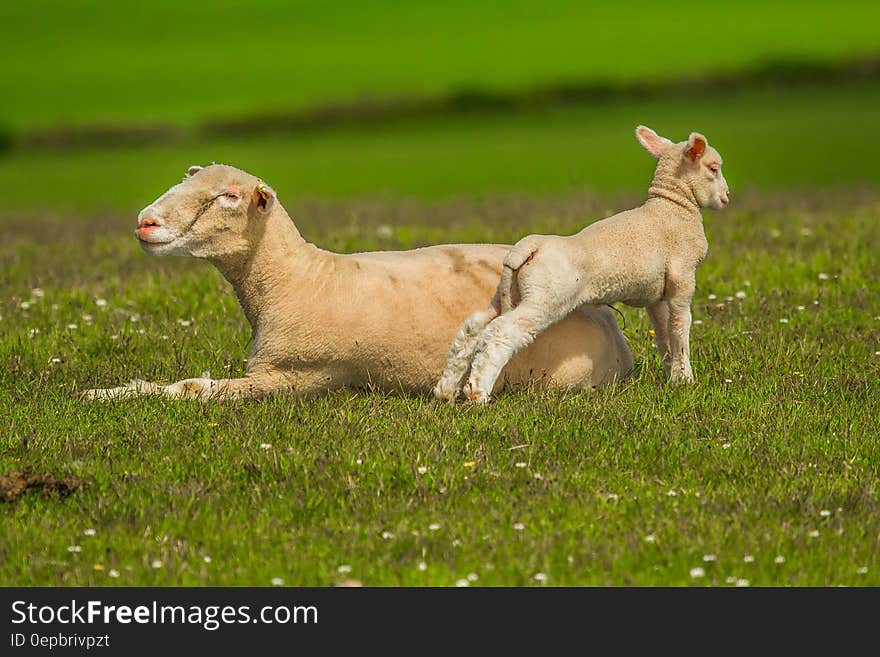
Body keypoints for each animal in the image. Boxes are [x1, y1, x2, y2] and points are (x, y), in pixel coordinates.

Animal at [82, 164, 632, 400]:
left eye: (230, 197)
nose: (146, 222)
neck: (299, 278)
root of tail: (614, 330)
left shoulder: (295, 377)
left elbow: (194, 389)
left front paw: (113, 394)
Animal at [436, 125, 732, 402]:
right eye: (714, 168)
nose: (727, 197)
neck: (673, 206)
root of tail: (528, 247)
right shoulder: (683, 278)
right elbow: (680, 327)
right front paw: (685, 380)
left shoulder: (656, 294)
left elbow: (662, 334)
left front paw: (671, 374)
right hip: (545, 298)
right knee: (501, 332)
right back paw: (478, 393)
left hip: (509, 292)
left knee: (474, 327)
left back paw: (446, 389)